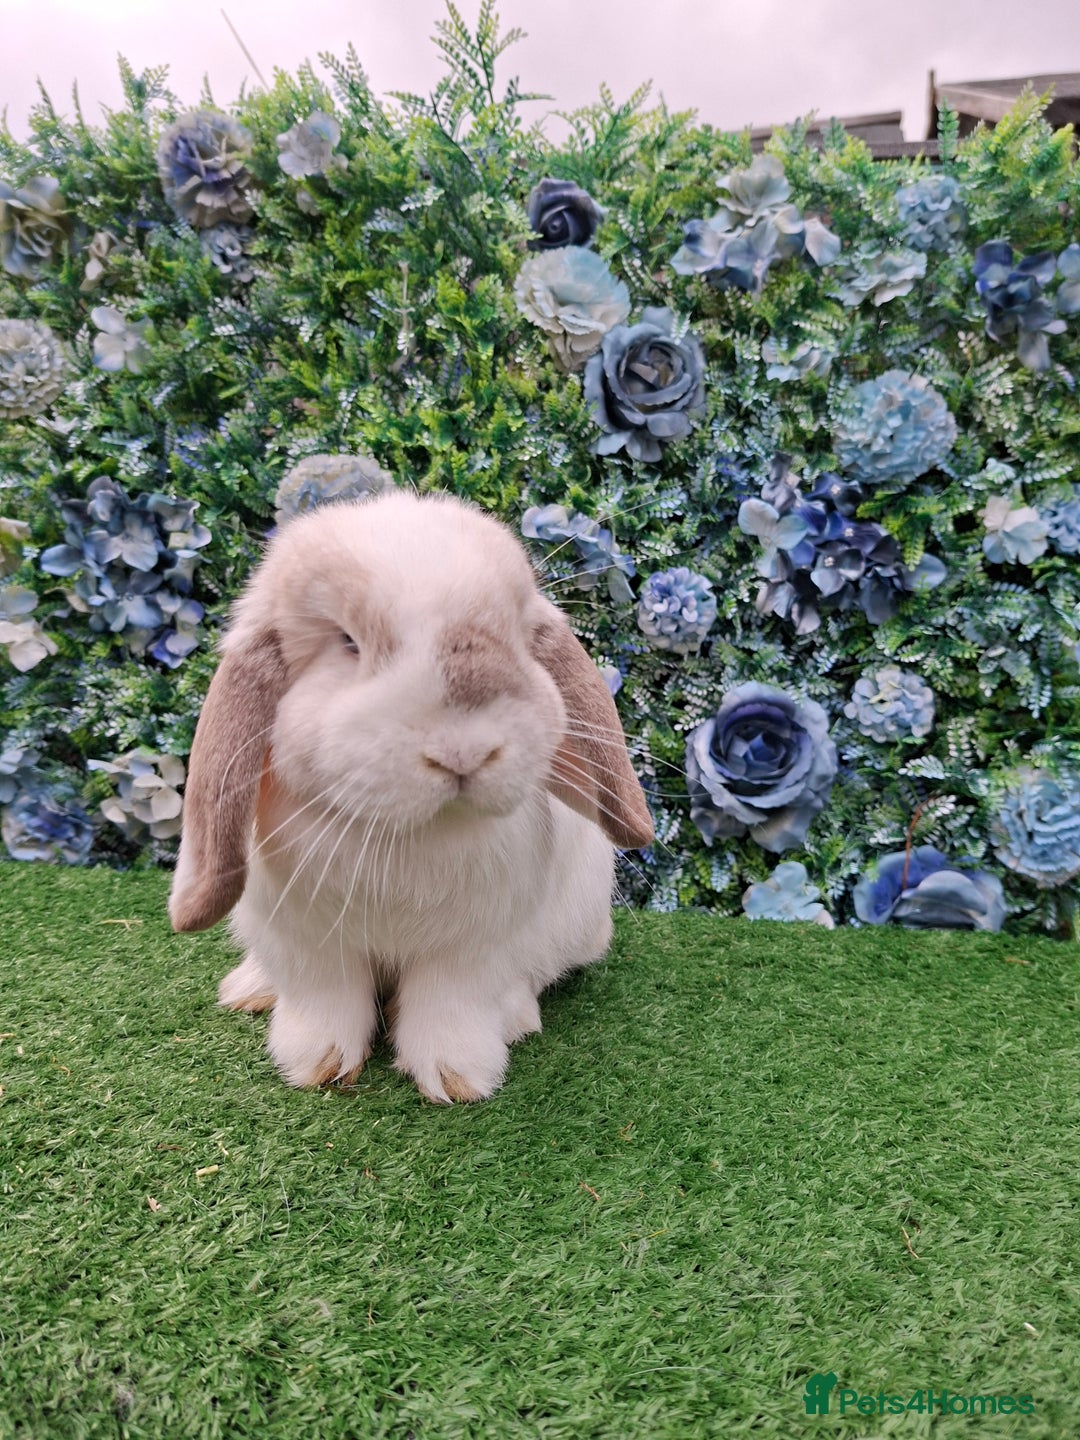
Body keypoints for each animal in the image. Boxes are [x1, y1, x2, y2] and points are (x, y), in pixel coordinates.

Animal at [168, 489, 653, 1102]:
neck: (404, 834)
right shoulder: (307, 943)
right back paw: (249, 989)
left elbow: (450, 1006)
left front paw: (456, 1078)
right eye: (348, 643)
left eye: (516, 638)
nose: (466, 752)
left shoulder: (472, 949)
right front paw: (317, 1065)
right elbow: (324, 1001)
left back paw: (518, 1017)